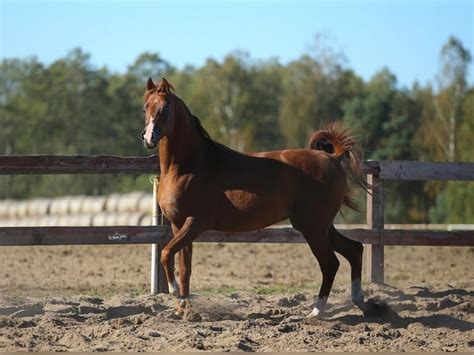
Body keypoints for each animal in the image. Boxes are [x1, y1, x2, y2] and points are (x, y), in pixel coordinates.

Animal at [143, 78, 368, 320]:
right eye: (145, 107)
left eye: (166, 108)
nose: (149, 137)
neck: (187, 167)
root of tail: (333, 157)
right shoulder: (178, 225)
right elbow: (184, 267)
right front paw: (183, 309)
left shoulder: (196, 222)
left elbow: (165, 253)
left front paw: (176, 293)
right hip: (323, 226)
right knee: (354, 250)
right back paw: (362, 303)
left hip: (313, 228)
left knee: (330, 263)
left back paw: (317, 311)